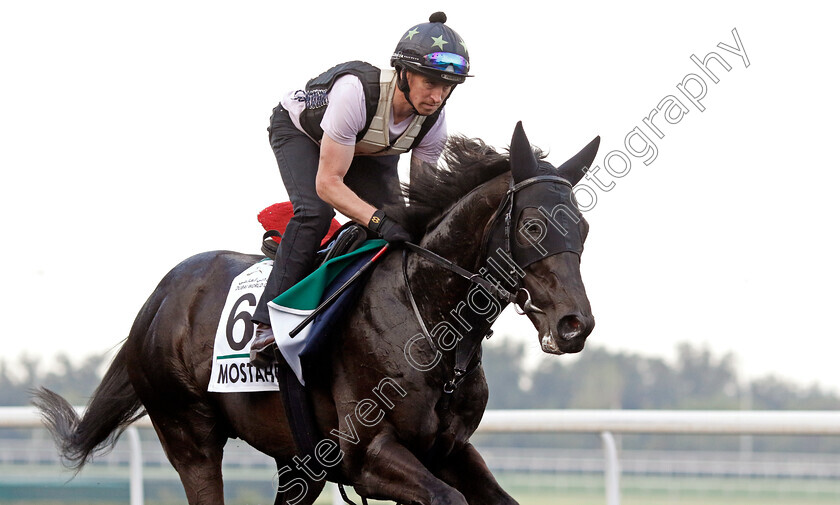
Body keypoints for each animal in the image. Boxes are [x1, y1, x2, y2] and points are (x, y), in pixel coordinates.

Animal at [32, 123, 596, 504]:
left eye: (584, 228)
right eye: (533, 227)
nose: (576, 325)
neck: (427, 317)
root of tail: (158, 299)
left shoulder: (449, 450)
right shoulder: (368, 455)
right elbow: (445, 497)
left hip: (298, 461)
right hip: (188, 434)